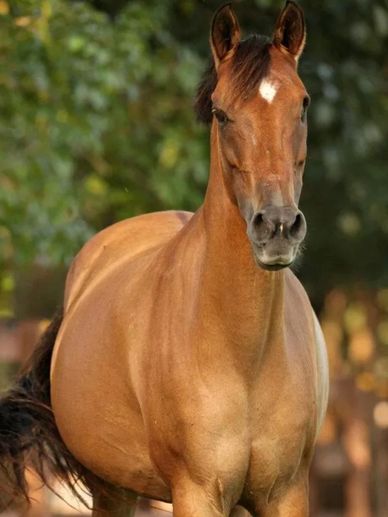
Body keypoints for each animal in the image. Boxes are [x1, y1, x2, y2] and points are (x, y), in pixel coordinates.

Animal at [0, 2, 328, 512]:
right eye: (220, 113)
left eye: (304, 105)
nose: (276, 226)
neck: (244, 358)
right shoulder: (196, 494)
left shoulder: (286, 495)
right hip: (111, 488)